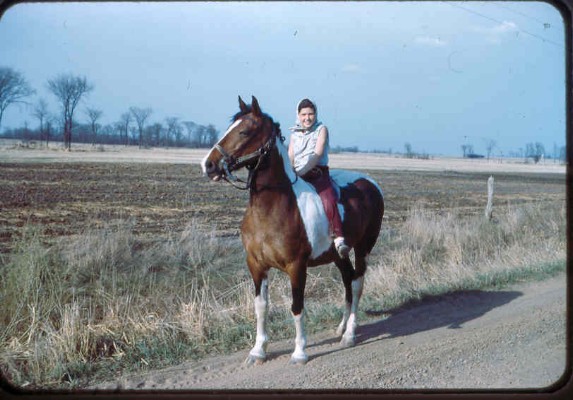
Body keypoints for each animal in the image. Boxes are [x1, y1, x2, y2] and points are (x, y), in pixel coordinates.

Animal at [201, 97, 384, 366]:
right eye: (229, 127)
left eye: (244, 131)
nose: (209, 165)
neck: (273, 208)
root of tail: (370, 183)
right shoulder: (256, 265)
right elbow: (261, 307)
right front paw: (258, 351)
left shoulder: (296, 266)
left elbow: (297, 307)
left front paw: (299, 352)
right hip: (338, 255)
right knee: (348, 281)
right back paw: (341, 328)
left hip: (363, 248)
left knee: (358, 283)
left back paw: (349, 334)